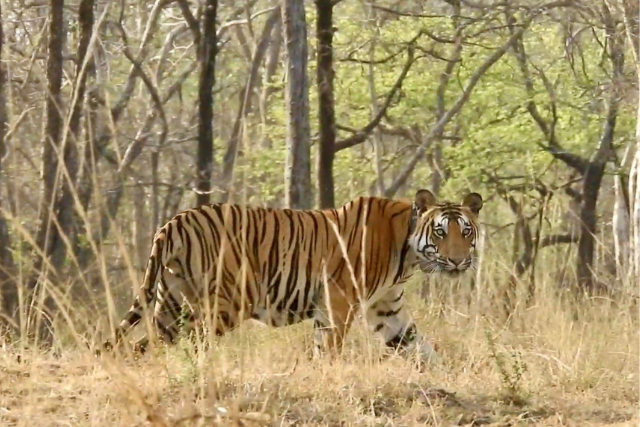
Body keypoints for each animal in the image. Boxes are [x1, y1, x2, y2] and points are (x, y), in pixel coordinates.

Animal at [102, 189, 483, 362]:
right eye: (439, 232)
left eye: (465, 232)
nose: (458, 261)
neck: (407, 255)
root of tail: (174, 221)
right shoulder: (339, 299)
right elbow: (328, 346)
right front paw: (326, 374)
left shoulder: (388, 310)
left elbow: (419, 346)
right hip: (224, 304)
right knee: (182, 342)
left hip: (171, 303)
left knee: (144, 344)